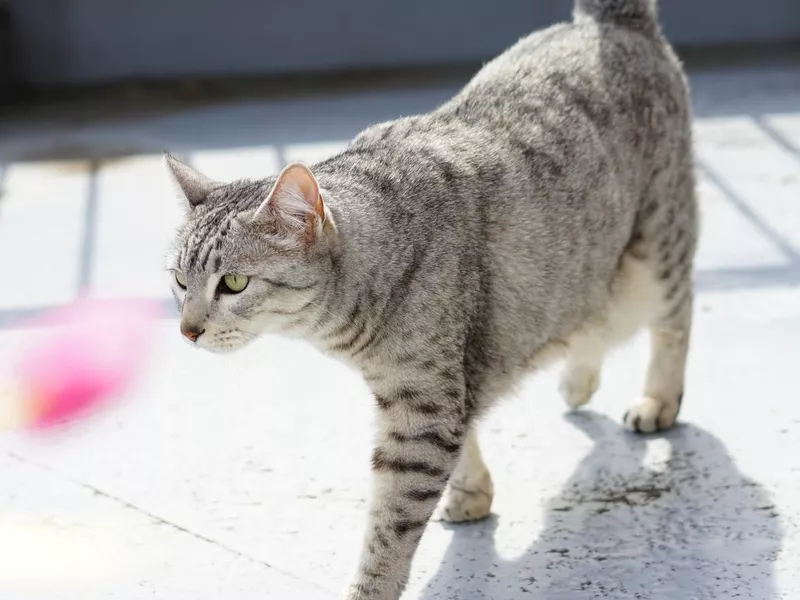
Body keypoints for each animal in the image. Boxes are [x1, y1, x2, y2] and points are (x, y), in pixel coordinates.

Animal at [166, 2, 696, 596]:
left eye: (233, 283)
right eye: (180, 282)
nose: (187, 330)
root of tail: (610, 21)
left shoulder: (423, 407)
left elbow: (391, 523)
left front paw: (370, 586)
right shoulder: (439, 386)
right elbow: (464, 439)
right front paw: (472, 493)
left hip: (658, 247)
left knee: (675, 316)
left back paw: (659, 400)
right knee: (590, 319)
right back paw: (578, 379)